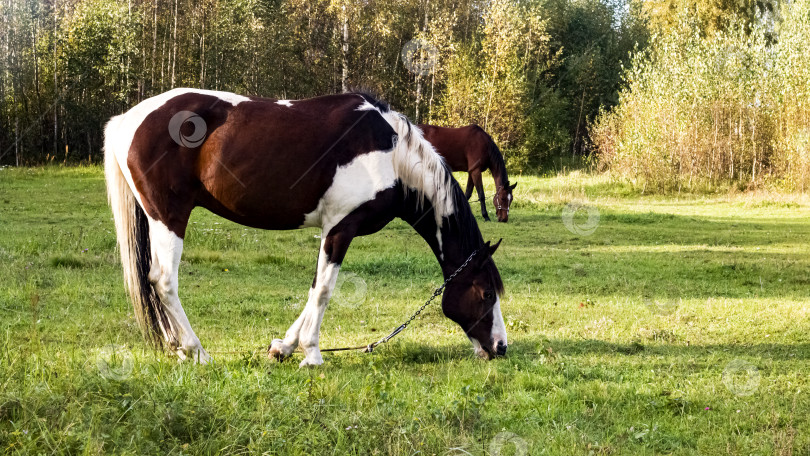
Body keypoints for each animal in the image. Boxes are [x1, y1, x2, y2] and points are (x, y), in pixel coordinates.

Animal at [102, 88, 504, 366]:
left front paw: (284, 347)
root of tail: (127, 119)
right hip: (169, 217)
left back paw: (178, 348)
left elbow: (313, 289)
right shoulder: (340, 228)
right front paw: (311, 353)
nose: (500, 347)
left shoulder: (331, 231)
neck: (392, 155)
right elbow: (324, 290)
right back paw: (196, 351)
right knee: (163, 281)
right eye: (486, 293)